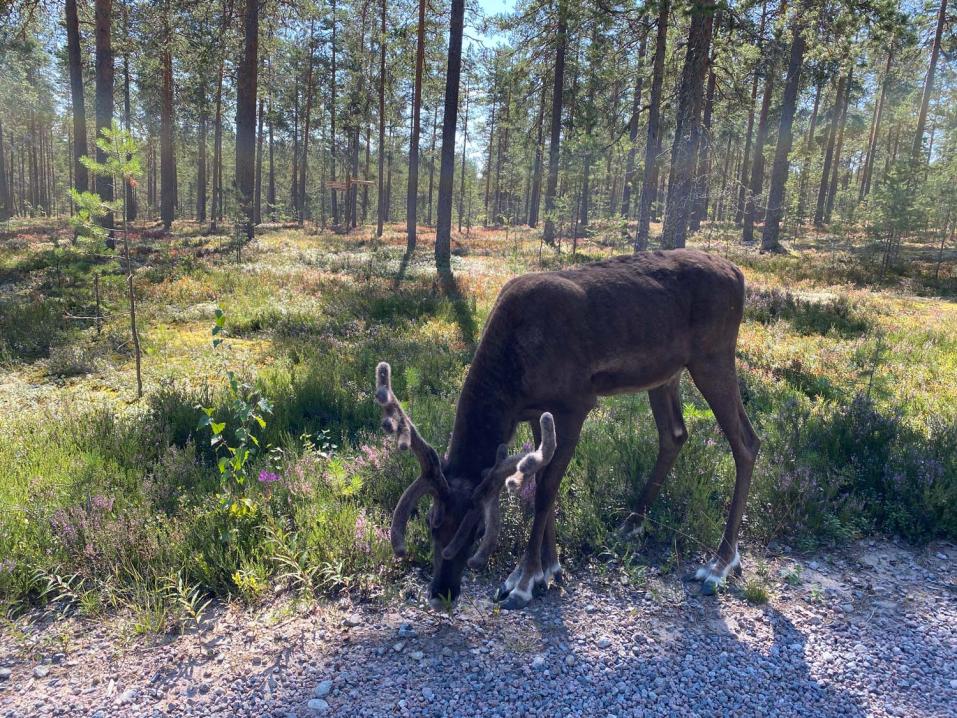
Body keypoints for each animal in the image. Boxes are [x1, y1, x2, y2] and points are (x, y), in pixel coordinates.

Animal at [378, 250, 760, 612]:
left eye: (476, 531)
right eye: (431, 522)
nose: (442, 593)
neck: (513, 370)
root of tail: (738, 274)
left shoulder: (575, 404)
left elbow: (547, 489)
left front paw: (523, 581)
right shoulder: (536, 412)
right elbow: (540, 483)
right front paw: (547, 568)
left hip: (713, 356)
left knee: (746, 442)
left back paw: (719, 564)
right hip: (666, 373)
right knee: (675, 435)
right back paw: (632, 523)